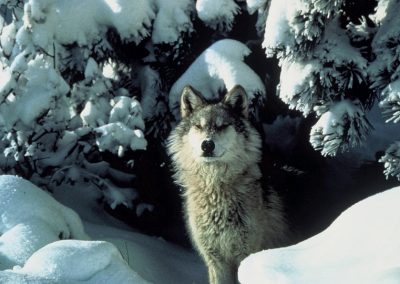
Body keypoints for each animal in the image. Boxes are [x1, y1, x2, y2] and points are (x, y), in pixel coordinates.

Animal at [167, 85, 290, 284]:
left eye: (222, 126)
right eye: (198, 126)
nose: (207, 145)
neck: (215, 190)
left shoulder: (246, 255)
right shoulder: (216, 261)